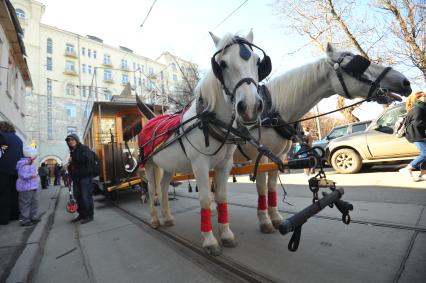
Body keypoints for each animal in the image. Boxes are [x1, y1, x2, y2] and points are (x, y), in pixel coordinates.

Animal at [144, 31, 266, 258]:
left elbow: (221, 196)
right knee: (151, 189)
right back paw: (155, 219)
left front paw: (226, 234)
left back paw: (168, 218)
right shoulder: (199, 164)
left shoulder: (225, 164)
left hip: (168, 167)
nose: (250, 107)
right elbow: (206, 199)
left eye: (257, 61)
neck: (209, 120)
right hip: (149, 164)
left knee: (163, 188)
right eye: (223, 64)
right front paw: (209, 240)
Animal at [235, 43, 412, 234]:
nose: (404, 82)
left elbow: (272, 185)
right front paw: (265, 221)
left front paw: (275, 218)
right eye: (355, 62)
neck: (271, 109)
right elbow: (261, 186)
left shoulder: (278, 156)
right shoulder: (259, 156)